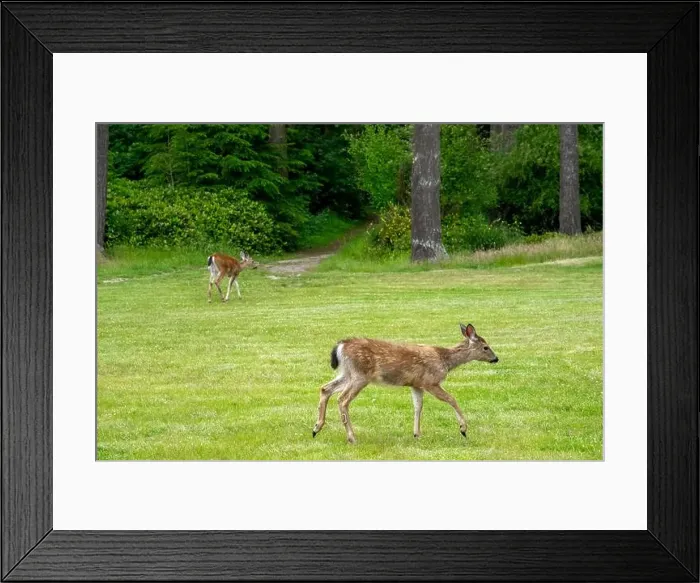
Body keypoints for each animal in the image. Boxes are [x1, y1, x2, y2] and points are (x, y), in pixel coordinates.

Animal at [312, 323, 498, 444]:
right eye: (486, 347)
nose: (496, 359)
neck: (445, 361)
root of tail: (341, 346)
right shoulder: (430, 381)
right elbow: (451, 399)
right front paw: (463, 429)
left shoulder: (416, 384)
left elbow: (418, 407)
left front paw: (417, 434)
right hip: (360, 375)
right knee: (342, 400)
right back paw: (351, 437)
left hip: (347, 373)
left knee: (325, 388)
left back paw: (316, 428)